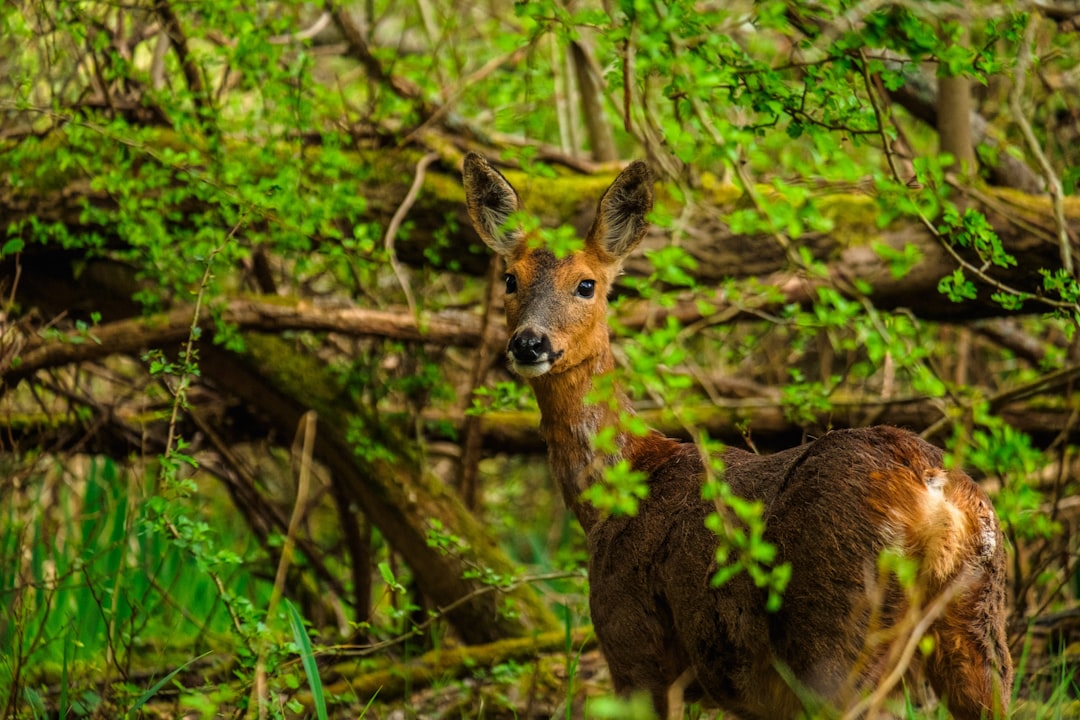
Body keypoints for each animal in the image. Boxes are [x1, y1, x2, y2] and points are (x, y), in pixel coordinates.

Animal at [462, 153, 1010, 720]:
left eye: (587, 284)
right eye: (510, 279)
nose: (529, 343)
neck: (613, 492)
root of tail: (933, 497)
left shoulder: (633, 643)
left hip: (836, 638)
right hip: (979, 632)